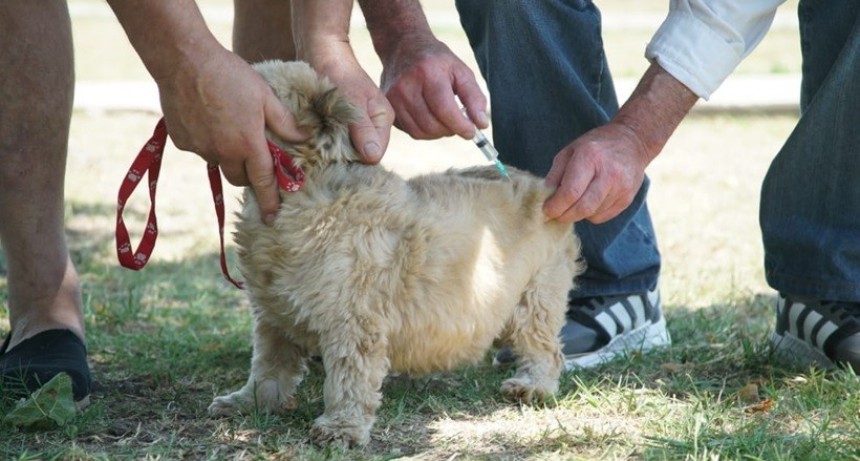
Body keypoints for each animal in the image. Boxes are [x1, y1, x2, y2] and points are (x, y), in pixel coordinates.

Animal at [208, 60, 584, 446]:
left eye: (261, 91)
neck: (304, 184)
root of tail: (544, 189)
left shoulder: (353, 321)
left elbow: (348, 378)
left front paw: (341, 427)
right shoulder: (274, 314)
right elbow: (269, 366)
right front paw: (249, 402)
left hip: (535, 297)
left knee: (546, 349)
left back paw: (533, 386)